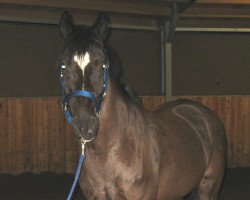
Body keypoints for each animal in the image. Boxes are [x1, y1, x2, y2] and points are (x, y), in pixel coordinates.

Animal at [57, 11, 226, 199]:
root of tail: (203, 113)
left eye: (102, 64)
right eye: (63, 66)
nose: (85, 125)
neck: (112, 150)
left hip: (208, 187)